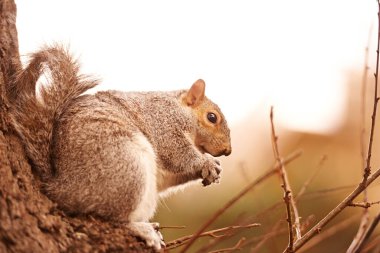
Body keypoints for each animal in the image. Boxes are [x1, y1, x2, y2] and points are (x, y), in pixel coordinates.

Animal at [6, 46, 232, 251]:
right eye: (212, 117)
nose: (227, 151)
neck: (179, 109)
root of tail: (62, 188)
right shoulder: (163, 124)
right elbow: (177, 153)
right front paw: (206, 162)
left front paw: (214, 169)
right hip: (126, 167)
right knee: (116, 219)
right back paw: (142, 229)